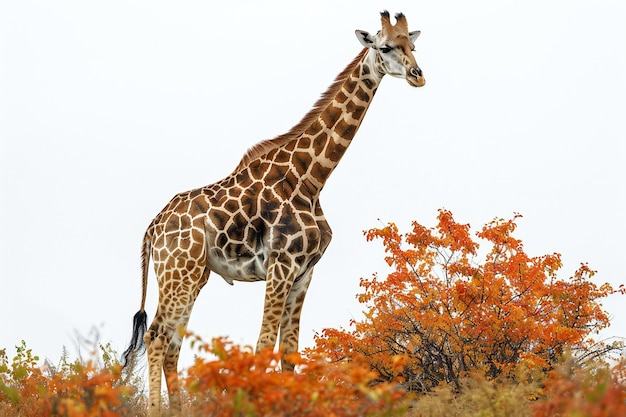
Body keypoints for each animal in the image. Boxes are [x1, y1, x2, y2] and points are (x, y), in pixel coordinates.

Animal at [122, 11, 424, 414]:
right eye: (385, 46)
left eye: (413, 45)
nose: (418, 75)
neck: (311, 179)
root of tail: (152, 229)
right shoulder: (280, 266)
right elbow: (263, 345)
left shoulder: (304, 272)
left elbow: (289, 354)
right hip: (177, 273)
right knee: (156, 337)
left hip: (194, 275)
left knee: (172, 345)